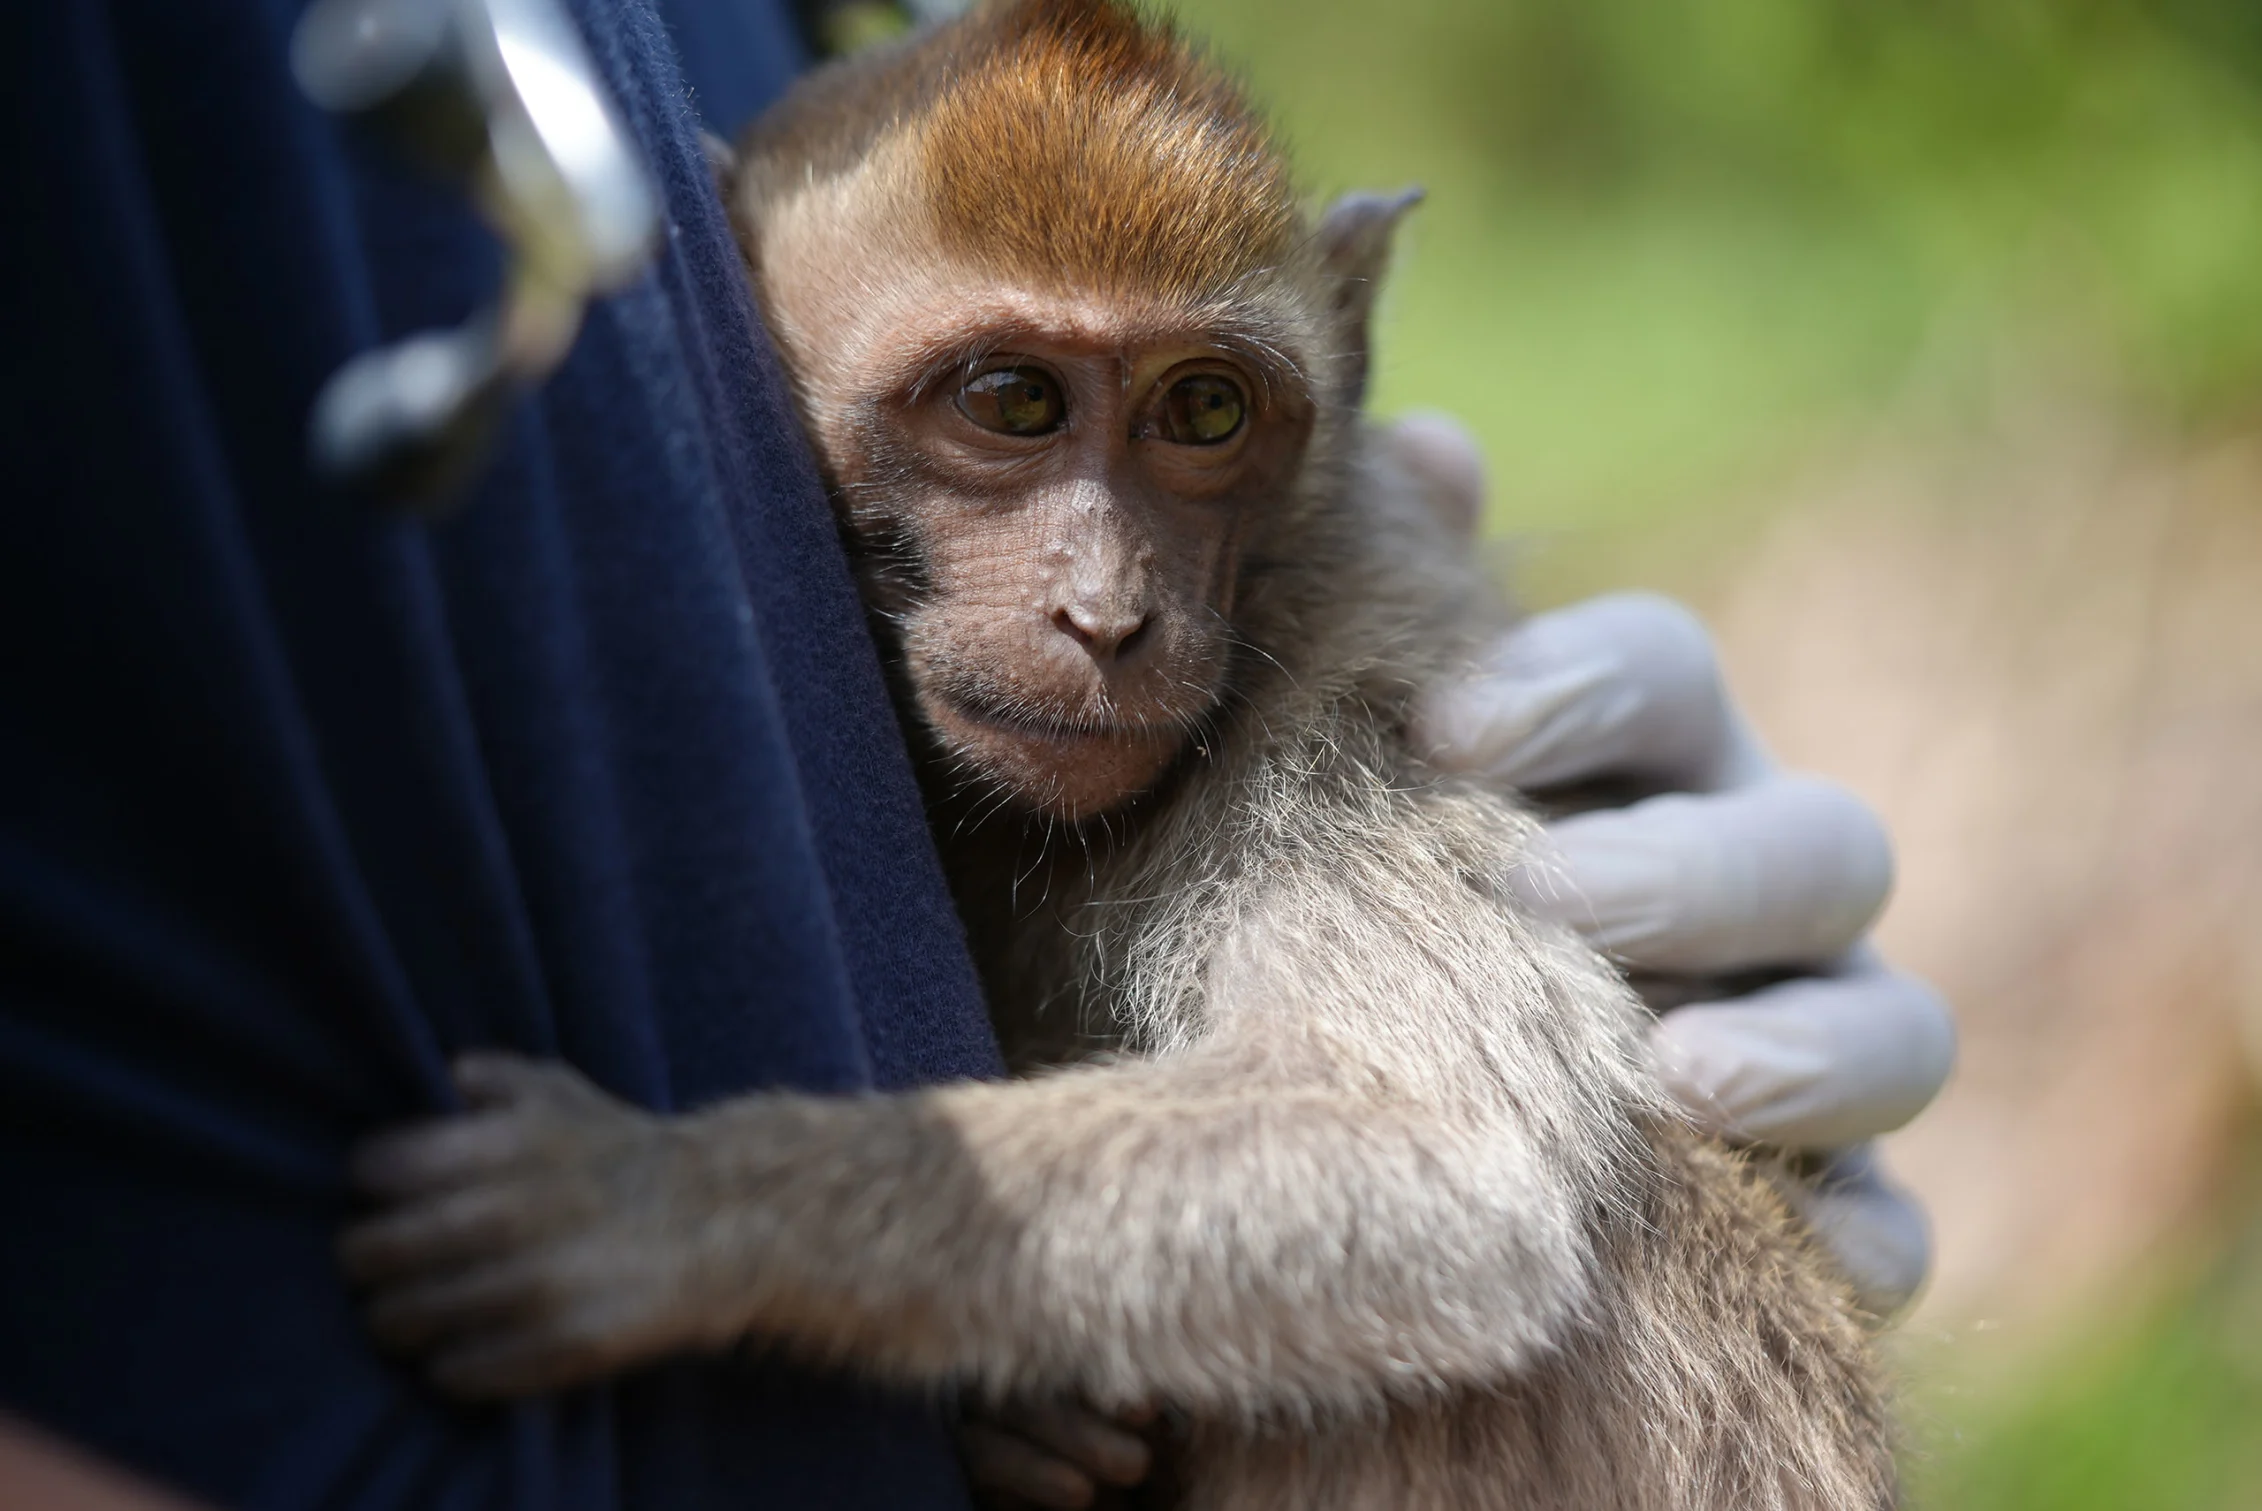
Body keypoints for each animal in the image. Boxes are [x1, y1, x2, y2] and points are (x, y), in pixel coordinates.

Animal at [334, 5, 1891, 1501]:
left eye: (1204, 409)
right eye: (1014, 400)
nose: (1107, 614)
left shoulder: (1346, 712)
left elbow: (1438, 1164)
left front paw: (672, 1202)